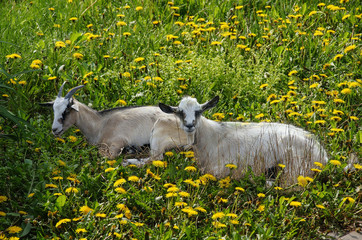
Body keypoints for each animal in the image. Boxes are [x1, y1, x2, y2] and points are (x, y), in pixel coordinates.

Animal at [160, 95, 330, 186]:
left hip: (295, 169)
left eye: (199, 111)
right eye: (179, 112)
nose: (189, 125)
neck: (211, 137)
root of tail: (322, 154)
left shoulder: (221, 170)